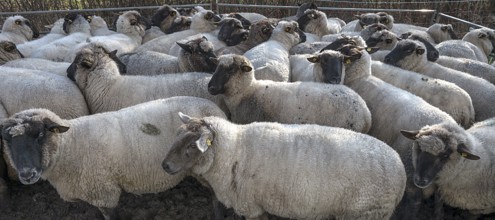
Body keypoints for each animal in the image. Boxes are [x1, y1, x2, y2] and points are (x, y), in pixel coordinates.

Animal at [0, 96, 227, 220]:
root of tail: (217, 110)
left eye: (40, 135)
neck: (69, 145)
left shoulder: (104, 192)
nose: (26, 174)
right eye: (7, 140)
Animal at [163, 111, 406, 220]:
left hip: (366, 211)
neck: (233, 152)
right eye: (177, 134)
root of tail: (401, 169)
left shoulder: (251, 206)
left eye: (192, 146)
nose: (164, 165)